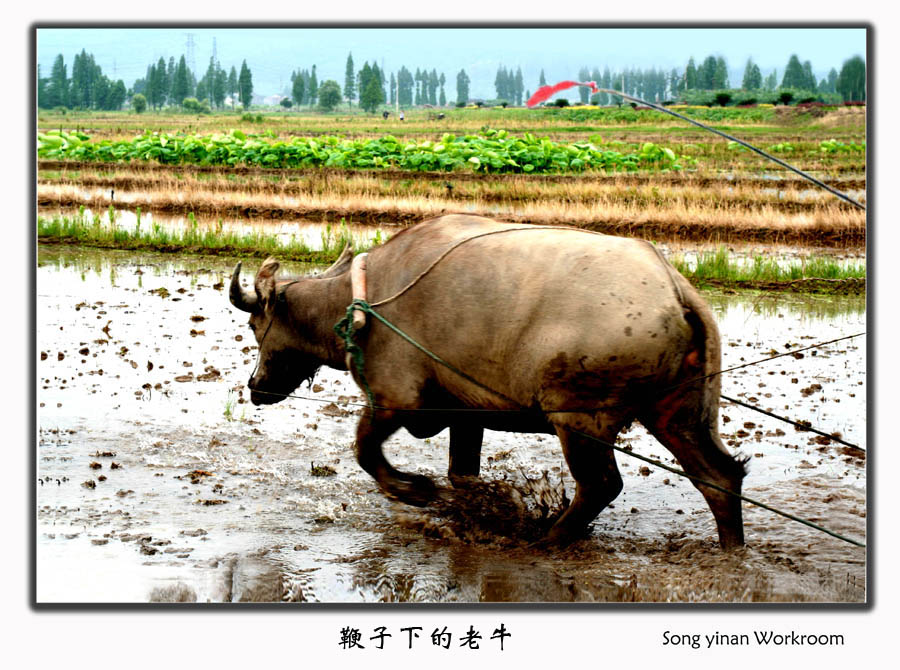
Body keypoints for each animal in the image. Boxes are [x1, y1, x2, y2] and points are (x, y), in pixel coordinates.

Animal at [230, 215, 744, 552]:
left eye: (256, 326)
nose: (255, 387)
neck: (361, 302)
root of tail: (674, 290)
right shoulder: (466, 412)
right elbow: (462, 473)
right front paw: (473, 508)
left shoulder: (396, 400)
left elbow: (365, 451)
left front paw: (415, 491)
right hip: (677, 414)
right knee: (718, 477)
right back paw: (731, 547)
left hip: (580, 419)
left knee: (599, 486)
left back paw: (548, 538)